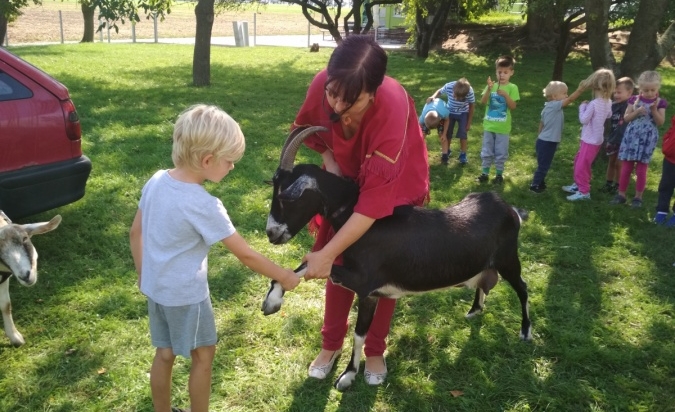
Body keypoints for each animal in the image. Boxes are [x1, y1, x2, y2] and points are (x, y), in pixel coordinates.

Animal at [264, 125, 532, 390]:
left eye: (286, 197)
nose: (271, 233)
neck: (356, 216)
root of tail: (511, 210)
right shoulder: (368, 289)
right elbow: (355, 328)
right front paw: (273, 300)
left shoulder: (365, 284)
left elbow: (355, 329)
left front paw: (347, 376)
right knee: (485, 282)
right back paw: (475, 310)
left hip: (508, 259)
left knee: (522, 287)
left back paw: (526, 332)